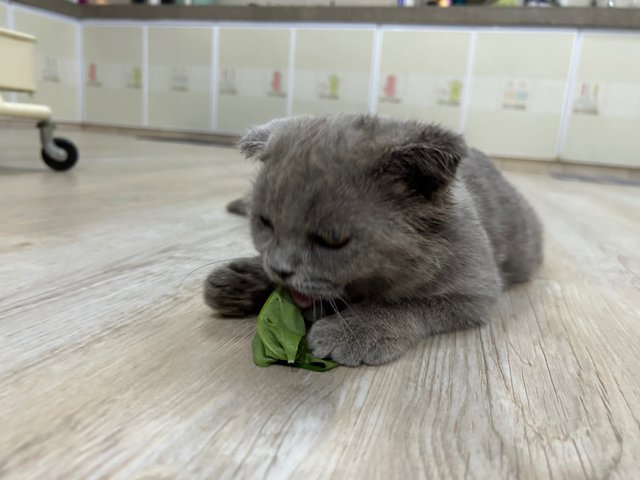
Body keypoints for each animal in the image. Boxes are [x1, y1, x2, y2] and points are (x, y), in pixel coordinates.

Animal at [202, 114, 544, 366]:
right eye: (265, 223)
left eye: (333, 240)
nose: (280, 269)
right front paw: (240, 281)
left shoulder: (474, 291)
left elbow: (407, 305)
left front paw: (356, 330)